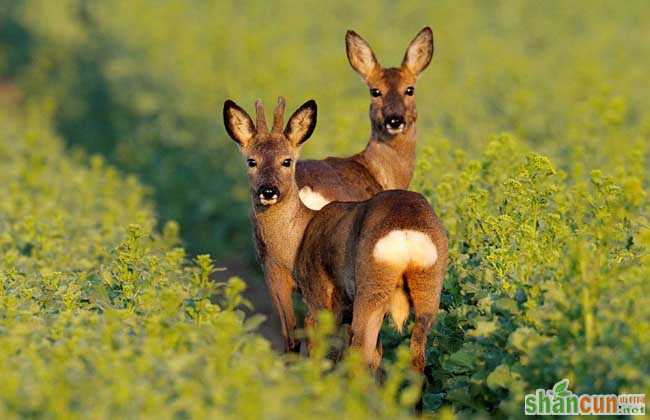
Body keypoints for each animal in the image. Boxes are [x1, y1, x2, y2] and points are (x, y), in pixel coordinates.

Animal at [223, 96, 446, 370]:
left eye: (287, 161)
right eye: (251, 161)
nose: (268, 191)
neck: (302, 230)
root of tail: (406, 234)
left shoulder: (317, 295)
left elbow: (311, 347)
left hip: (370, 288)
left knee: (360, 351)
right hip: (429, 290)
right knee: (414, 357)